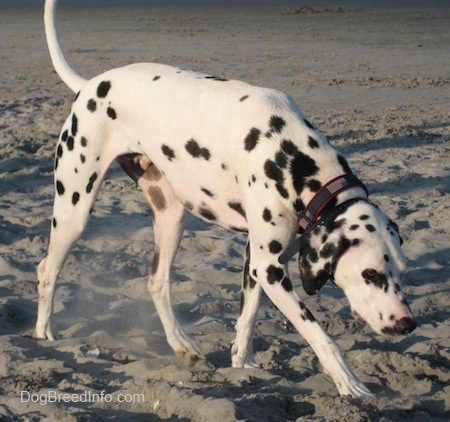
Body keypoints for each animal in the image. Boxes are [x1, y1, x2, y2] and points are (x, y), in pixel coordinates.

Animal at [37, 0, 416, 398]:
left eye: (403, 271)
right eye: (370, 273)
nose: (407, 324)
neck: (294, 156)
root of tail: (91, 85)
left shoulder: (258, 261)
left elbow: (248, 318)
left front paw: (242, 363)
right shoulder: (270, 268)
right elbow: (319, 334)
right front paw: (350, 383)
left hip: (171, 218)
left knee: (156, 283)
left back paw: (182, 346)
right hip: (74, 209)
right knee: (46, 269)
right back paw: (44, 333)